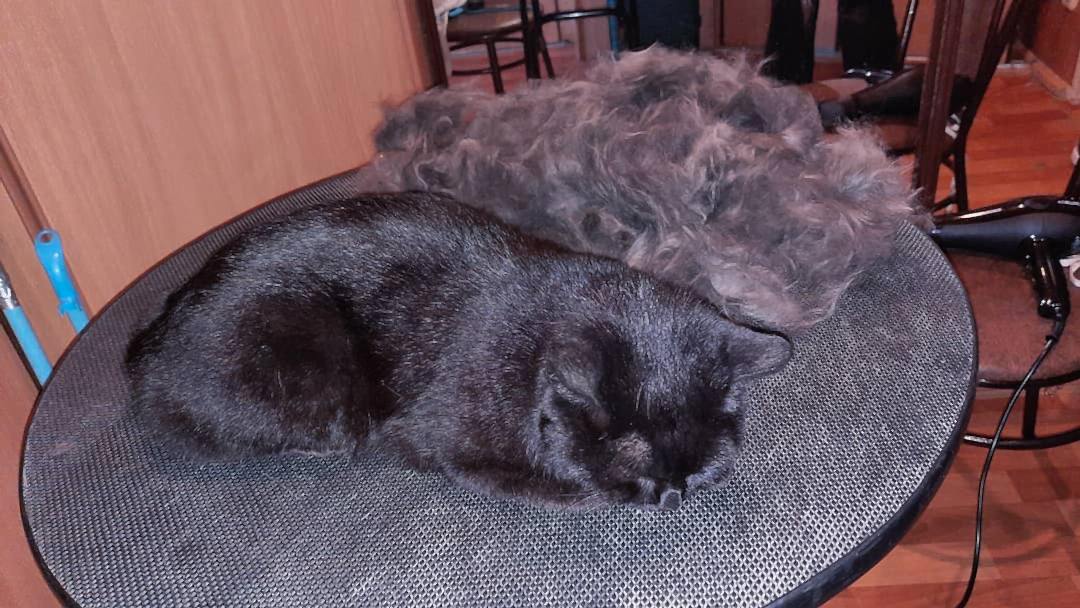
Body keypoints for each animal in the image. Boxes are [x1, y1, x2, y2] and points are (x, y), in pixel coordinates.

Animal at [126, 192, 791, 511]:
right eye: (641, 475)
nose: (672, 499)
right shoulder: (441, 440)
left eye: (699, 473)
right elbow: (547, 487)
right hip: (311, 365)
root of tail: (146, 347)